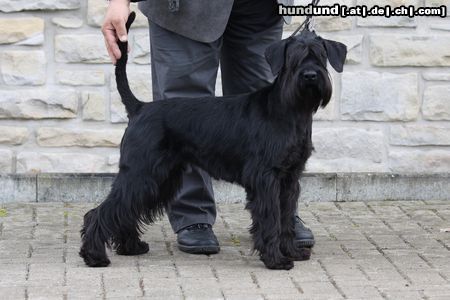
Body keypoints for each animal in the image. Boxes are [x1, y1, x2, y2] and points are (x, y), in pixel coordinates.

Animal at [81, 12, 346, 270]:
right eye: (293, 58)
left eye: (320, 56)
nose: (310, 75)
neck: (291, 110)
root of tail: (140, 107)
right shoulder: (266, 177)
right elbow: (271, 218)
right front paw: (276, 259)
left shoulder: (290, 178)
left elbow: (286, 217)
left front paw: (292, 251)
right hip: (141, 173)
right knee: (102, 212)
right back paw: (95, 256)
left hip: (159, 178)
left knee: (126, 210)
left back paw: (131, 247)